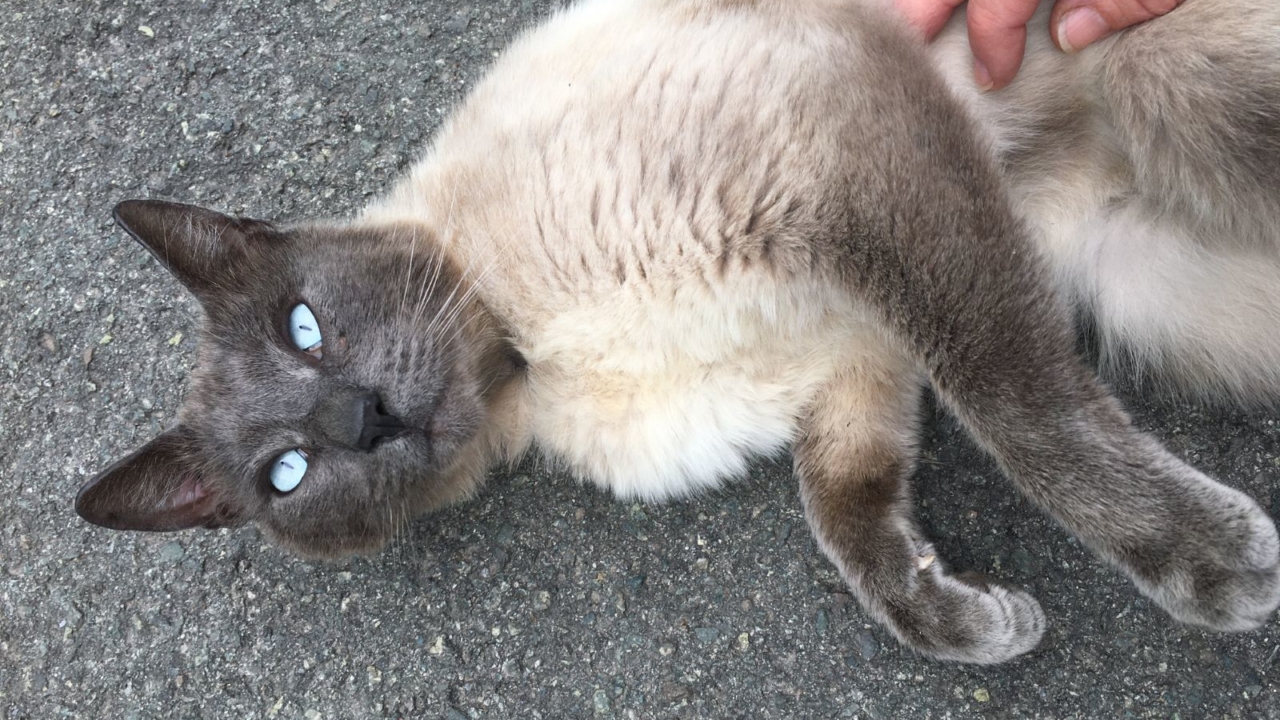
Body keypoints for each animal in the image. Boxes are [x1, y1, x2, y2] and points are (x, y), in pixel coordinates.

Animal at [72, 0, 1280, 661]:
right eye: (286, 472)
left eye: (305, 325)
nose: (364, 417)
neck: (529, 367)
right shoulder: (852, 352)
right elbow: (851, 521)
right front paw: (969, 622)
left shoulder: (853, 167)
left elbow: (1020, 407)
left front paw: (1216, 571)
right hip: (1154, 289)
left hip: (1178, 92)